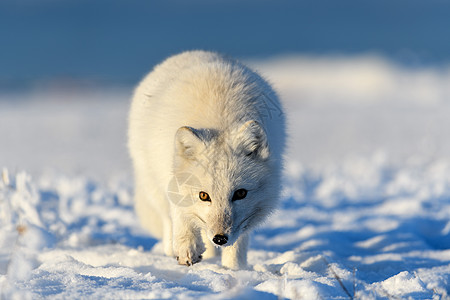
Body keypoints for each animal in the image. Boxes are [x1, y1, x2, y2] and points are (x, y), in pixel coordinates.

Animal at [128, 51, 284, 270]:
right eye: (203, 195)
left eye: (241, 193)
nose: (220, 238)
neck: (220, 121)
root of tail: (195, 52)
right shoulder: (172, 177)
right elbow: (181, 216)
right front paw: (187, 248)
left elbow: (238, 243)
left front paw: (234, 270)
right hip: (152, 182)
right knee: (168, 219)